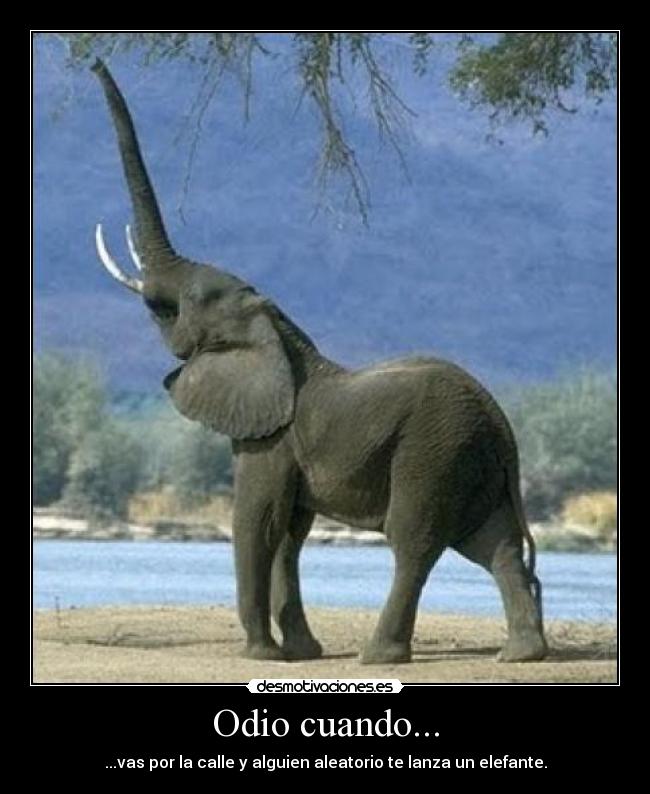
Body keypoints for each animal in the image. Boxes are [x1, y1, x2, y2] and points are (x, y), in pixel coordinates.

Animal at [90, 59, 548, 664]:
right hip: (474, 459)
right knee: (493, 543)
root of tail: (501, 422)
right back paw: (521, 655)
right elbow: (290, 531)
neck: (277, 331)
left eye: (182, 304)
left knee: (415, 541)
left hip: (433, 450)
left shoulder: (270, 436)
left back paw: (379, 656)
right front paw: (301, 652)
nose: (94, 62)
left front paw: (260, 655)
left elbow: (258, 522)